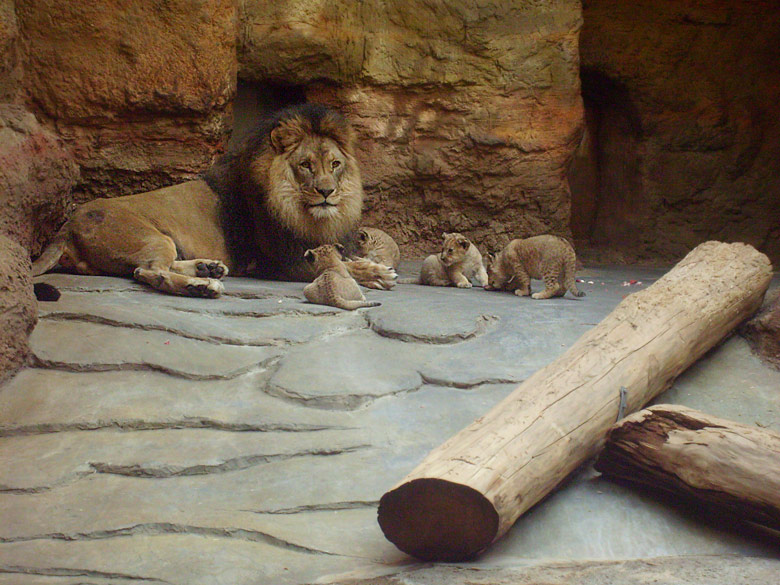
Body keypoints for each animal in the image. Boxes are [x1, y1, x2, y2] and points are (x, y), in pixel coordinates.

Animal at [31, 102, 396, 294]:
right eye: (305, 165)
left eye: (335, 165)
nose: (326, 191)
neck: (302, 211)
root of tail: (66, 226)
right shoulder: (281, 261)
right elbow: (340, 267)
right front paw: (376, 273)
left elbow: (345, 259)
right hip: (147, 235)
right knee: (148, 272)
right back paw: (201, 286)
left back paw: (208, 268)